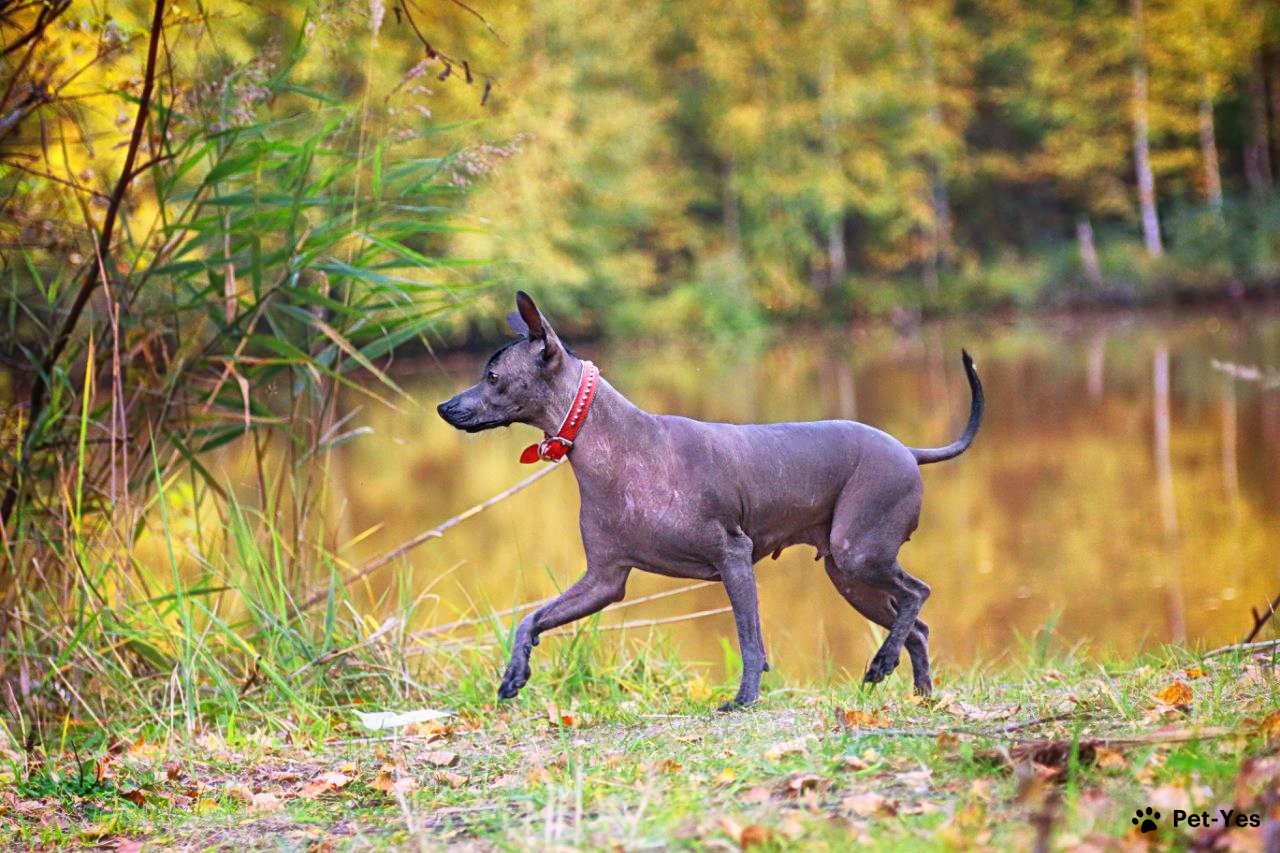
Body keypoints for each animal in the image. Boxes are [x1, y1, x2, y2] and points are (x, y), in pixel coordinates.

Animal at [435, 290, 983, 701]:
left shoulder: (734, 557)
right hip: (848, 574)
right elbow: (530, 618)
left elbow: (749, 639)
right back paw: (918, 692)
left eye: (492, 376)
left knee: (918, 594)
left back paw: (886, 663)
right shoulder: (603, 581)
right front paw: (514, 674)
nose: (443, 407)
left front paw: (744, 699)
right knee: (917, 625)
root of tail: (907, 449)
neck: (613, 448)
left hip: (859, 554)